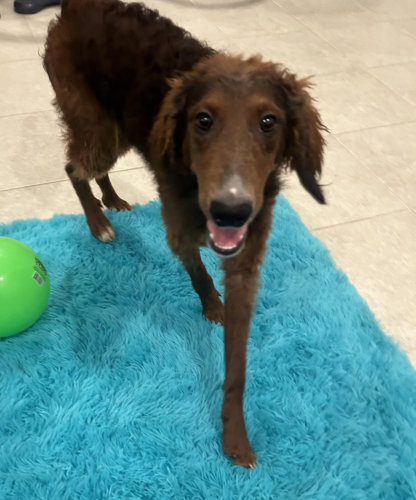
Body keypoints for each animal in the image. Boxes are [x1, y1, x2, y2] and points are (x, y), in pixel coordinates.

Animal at [43, 0, 328, 466]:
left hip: (116, 128)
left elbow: (237, 365)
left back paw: (113, 199)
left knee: (94, 169)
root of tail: (81, 6)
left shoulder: (246, 259)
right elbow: (198, 273)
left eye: (269, 122)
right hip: (95, 123)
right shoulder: (179, 227)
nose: (230, 211)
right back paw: (98, 222)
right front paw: (211, 306)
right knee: (74, 168)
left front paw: (235, 436)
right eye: (203, 120)